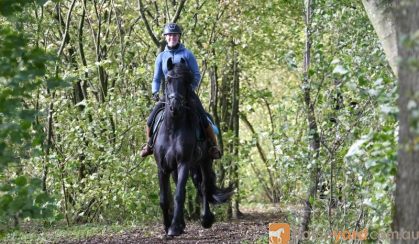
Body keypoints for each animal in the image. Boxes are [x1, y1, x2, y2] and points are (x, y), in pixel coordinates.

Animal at [153, 57, 235, 236]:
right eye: (168, 80)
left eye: (186, 81)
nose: (175, 106)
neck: (173, 129)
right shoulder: (162, 167)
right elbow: (164, 198)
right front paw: (167, 226)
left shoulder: (184, 163)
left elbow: (179, 194)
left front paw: (174, 228)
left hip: (204, 161)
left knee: (203, 186)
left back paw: (206, 219)